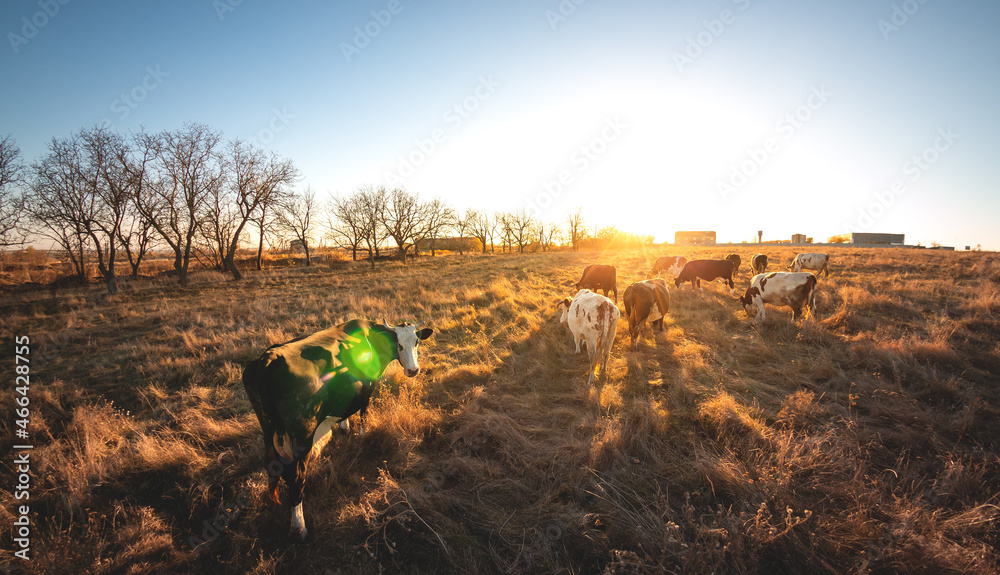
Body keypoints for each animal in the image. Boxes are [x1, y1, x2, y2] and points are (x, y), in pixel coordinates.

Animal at [243, 320, 434, 540]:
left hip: (269, 431)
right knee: (296, 477)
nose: (413, 370)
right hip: (302, 436)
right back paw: (299, 526)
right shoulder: (369, 385)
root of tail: (268, 359)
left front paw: (345, 426)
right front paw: (362, 433)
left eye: (417, 342)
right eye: (399, 344)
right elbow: (364, 411)